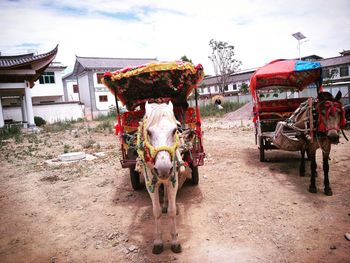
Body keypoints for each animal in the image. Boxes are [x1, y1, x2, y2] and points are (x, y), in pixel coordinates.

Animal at [135, 100, 186, 254]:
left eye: (175, 130)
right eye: (149, 132)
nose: (163, 169)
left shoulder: (173, 179)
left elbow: (172, 211)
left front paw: (175, 241)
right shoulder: (150, 183)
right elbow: (156, 212)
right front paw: (158, 241)